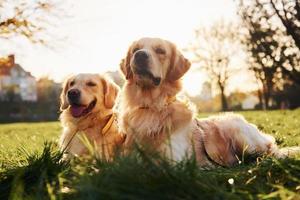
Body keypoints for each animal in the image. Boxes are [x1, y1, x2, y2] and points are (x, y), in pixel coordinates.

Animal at [118, 37, 298, 167]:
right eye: (135, 49)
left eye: (160, 51)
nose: (140, 55)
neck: (151, 107)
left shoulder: (174, 161)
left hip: (240, 135)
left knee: (271, 150)